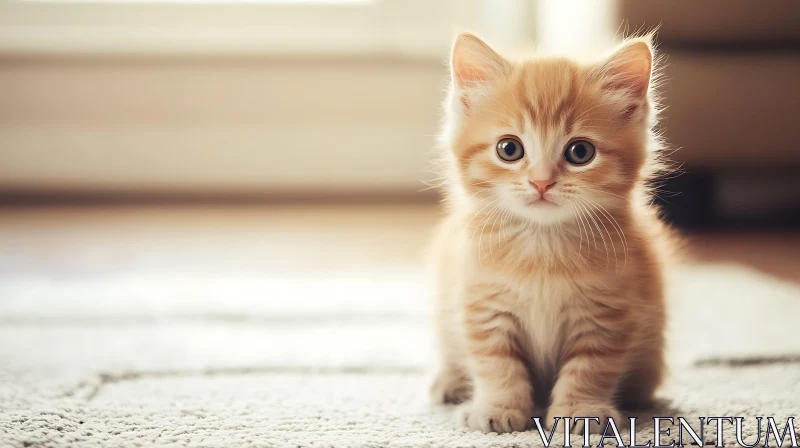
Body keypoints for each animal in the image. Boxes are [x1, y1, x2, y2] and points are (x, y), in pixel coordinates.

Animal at [428, 34, 672, 434]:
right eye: (509, 149)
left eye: (580, 152)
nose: (541, 182)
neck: (542, 247)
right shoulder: (483, 305)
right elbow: (495, 363)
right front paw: (498, 407)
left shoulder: (606, 314)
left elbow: (590, 368)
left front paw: (580, 412)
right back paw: (448, 383)